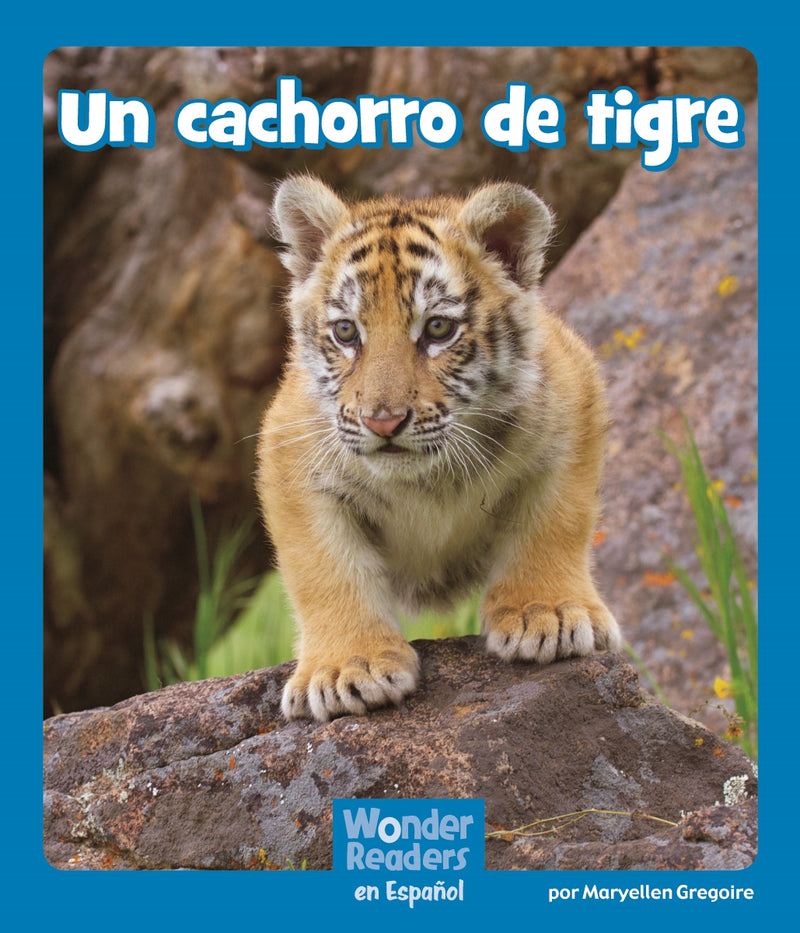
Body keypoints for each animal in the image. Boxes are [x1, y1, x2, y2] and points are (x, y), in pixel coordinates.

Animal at [256, 174, 622, 722]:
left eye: (437, 328)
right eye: (346, 331)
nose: (382, 421)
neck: (427, 478)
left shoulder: (573, 407)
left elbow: (556, 522)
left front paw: (548, 614)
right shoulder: (292, 456)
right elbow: (326, 569)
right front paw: (348, 669)